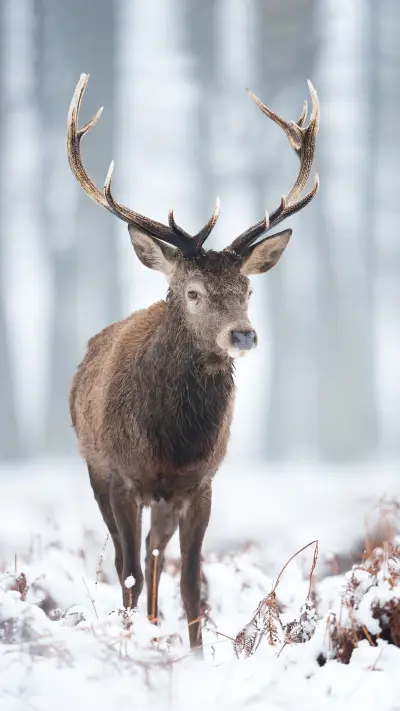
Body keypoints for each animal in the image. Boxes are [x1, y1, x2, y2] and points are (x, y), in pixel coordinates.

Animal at [67, 74, 319, 656]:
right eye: (194, 292)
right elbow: (128, 572)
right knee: (130, 558)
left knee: (158, 553)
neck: (171, 440)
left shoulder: (201, 483)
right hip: (95, 470)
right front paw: (130, 647)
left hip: (166, 498)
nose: (243, 333)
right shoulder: (121, 475)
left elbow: (191, 581)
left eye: (248, 288)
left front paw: (197, 656)